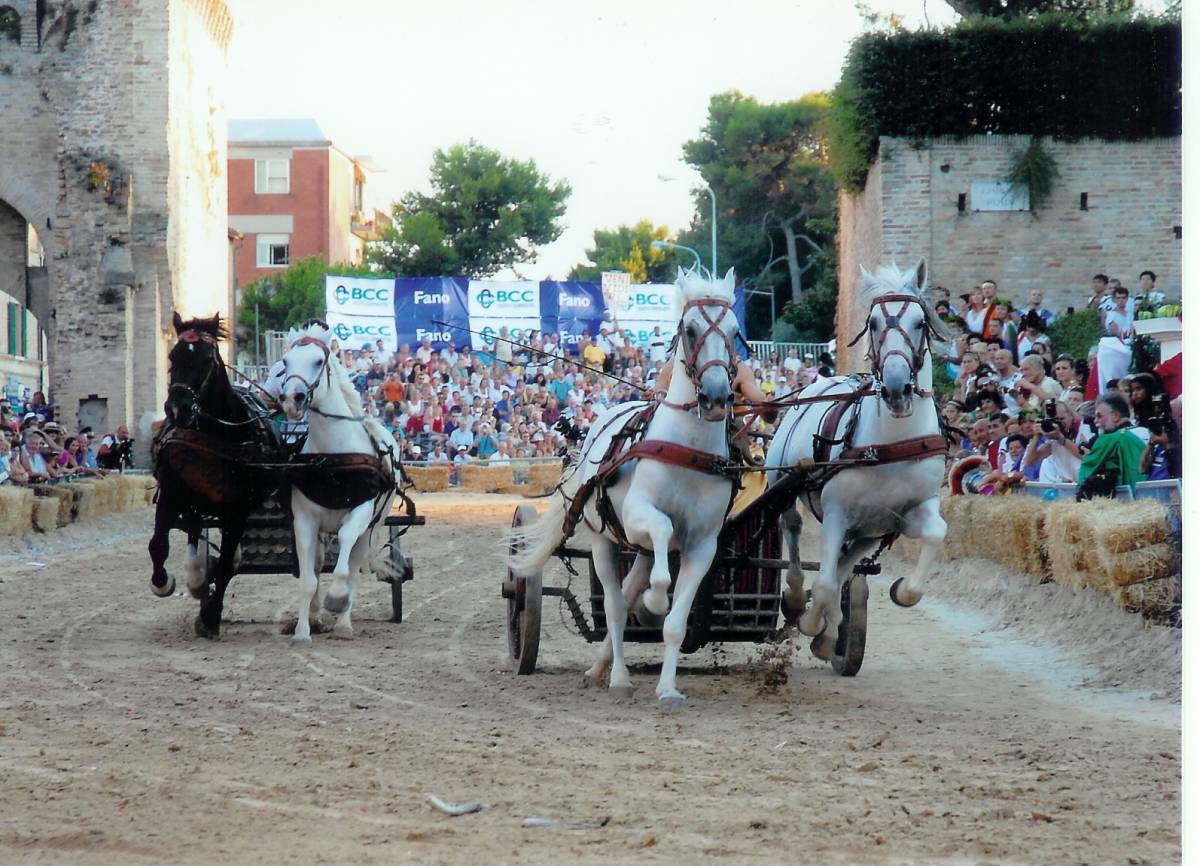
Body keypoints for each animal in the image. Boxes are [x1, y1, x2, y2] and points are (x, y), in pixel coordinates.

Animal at [148, 314, 279, 638]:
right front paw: (163, 583)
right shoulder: (171, 495)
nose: (178, 407)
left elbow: (226, 566)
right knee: (194, 532)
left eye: (207, 359)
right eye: (173, 356)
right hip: (195, 505)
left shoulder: (238, 510)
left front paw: (210, 616)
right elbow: (158, 545)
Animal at [276, 321, 403, 642]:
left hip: (373, 525)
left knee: (354, 565)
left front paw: (336, 599)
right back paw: (317, 615)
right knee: (319, 564)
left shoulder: (360, 512)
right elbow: (308, 580)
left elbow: (345, 559)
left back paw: (344, 622)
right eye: (285, 362)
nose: (292, 399)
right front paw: (303, 630)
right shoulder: (304, 520)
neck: (333, 459)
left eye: (318, 361)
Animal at [513, 269, 744, 710]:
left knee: (629, 586)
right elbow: (662, 538)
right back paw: (617, 676)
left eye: (734, 331)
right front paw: (653, 605)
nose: (717, 397)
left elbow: (676, 623)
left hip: (635, 548)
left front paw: (668, 688)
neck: (687, 451)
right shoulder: (641, 517)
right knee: (616, 606)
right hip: (605, 540)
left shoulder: (703, 545)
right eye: (690, 329)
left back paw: (601, 666)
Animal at [768, 260, 955, 657]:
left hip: (868, 530)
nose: (898, 388)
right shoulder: (837, 511)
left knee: (846, 563)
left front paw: (903, 591)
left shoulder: (903, 515)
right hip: (784, 483)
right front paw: (812, 622)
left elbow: (935, 532)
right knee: (792, 528)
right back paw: (796, 598)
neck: (890, 445)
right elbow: (823, 583)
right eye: (873, 324)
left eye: (919, 322)